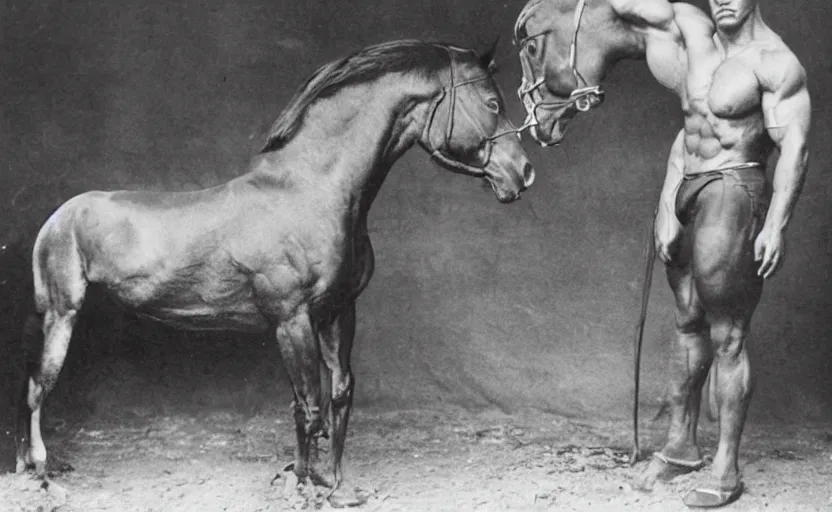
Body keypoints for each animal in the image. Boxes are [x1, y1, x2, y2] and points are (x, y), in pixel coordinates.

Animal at [16, 39, 536, 504]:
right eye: (493, 102)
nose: (524, 171)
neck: (316, 190)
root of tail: (58, 217)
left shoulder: (337, 313)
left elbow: (337, 396)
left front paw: (334, 484)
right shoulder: (291, 320)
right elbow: (308, 407)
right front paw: (302, 487)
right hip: (61, 314)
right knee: (39, 386)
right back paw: (44, 477)